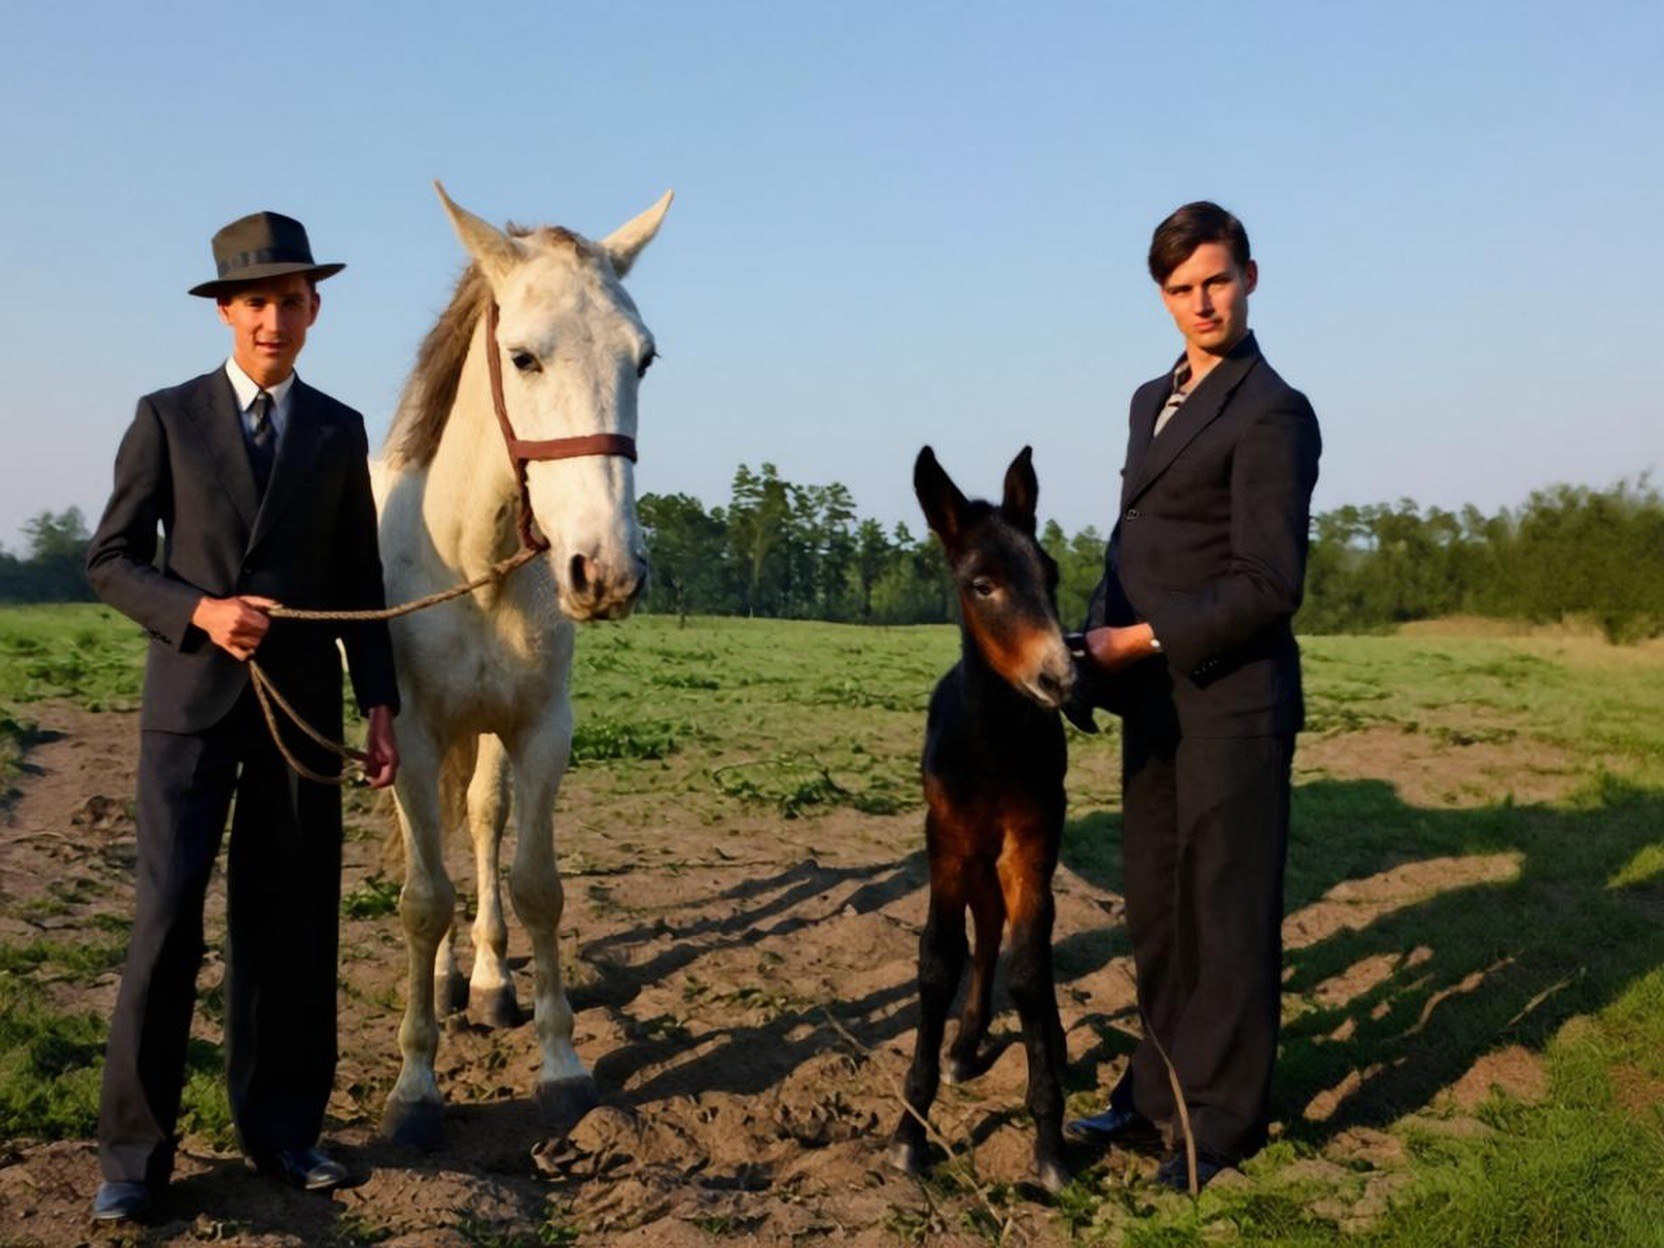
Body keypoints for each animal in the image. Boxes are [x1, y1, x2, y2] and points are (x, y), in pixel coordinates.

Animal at [371, 182, 671, 1148]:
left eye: (644, 359)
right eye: (523, 357)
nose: (606, 571)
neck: (472, 559)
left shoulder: (540, 728)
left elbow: (536, 884)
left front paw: (560, 1064)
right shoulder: (411, 735)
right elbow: (422, 899)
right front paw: (415, 1087)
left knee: (480, 818)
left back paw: (488, 982)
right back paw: (441, 983)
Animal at [888, 445, 1077, 1193]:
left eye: (1051, 573)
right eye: (982, 584)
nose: (1061, 678)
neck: (994, 746)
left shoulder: (1033, 839)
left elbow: (1029, 970)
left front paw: (1050, 1138)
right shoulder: (948, 842)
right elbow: (939, 961)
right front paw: (910, 1132)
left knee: (1015, 934)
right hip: (970, 851)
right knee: (987, 922)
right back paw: (964, 1046)